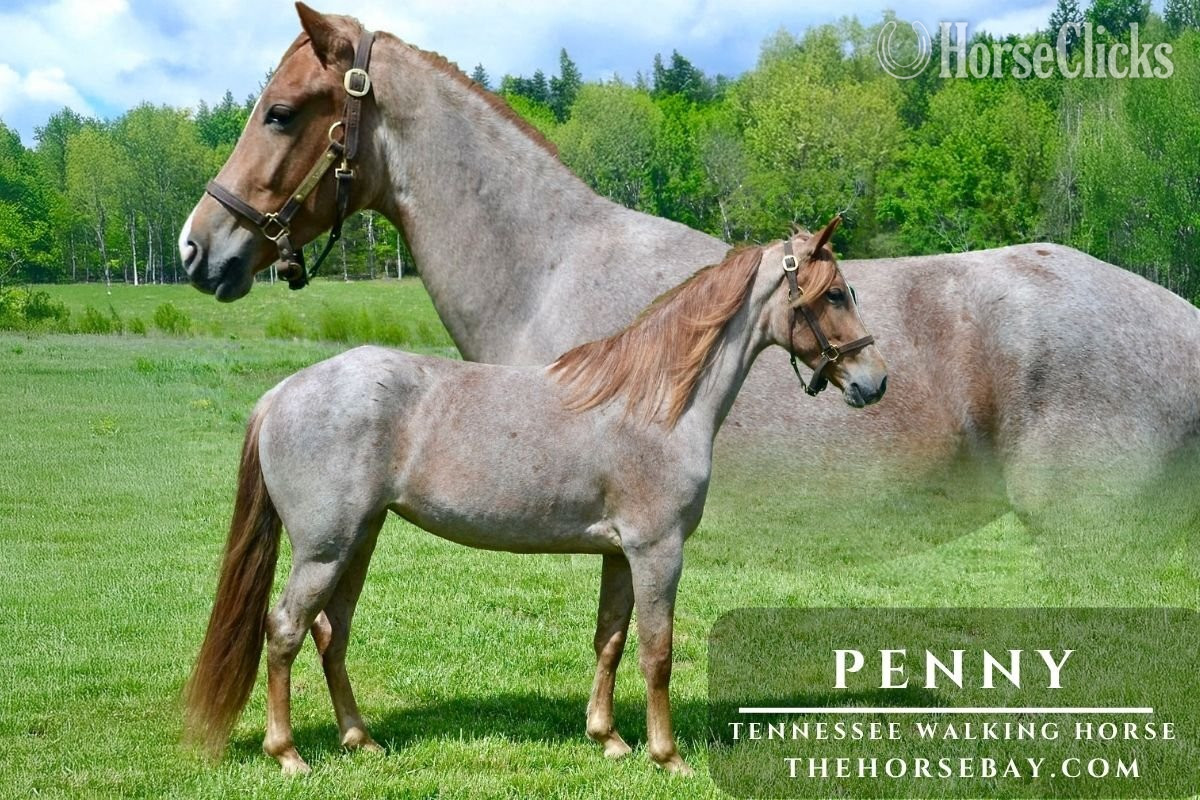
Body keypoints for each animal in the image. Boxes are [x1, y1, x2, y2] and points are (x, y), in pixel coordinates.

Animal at [182, 221, 888, 775]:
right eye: (832, 294)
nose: (875, 382)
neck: (655, 400)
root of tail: (282, 394)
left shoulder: (620, 555)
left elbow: (610, 640)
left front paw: (608, 739)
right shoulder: (658, 551)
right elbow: (656, 652)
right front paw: (668, 756)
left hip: (359, 540)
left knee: (332, 633)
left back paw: (361, 740)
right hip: (323, 550)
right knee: (286, 630)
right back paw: (288, 754)